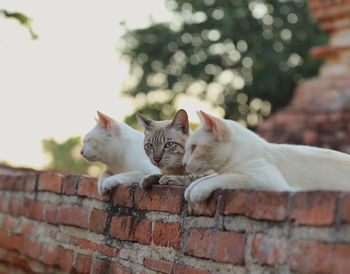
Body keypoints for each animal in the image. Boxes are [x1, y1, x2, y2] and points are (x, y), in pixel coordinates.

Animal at [182, 111, 350, 203]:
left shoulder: (265, 179)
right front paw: (191, 188)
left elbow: (226, 177)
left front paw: (197, 191)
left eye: (194, 147)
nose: (183, 163)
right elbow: (209, 177)